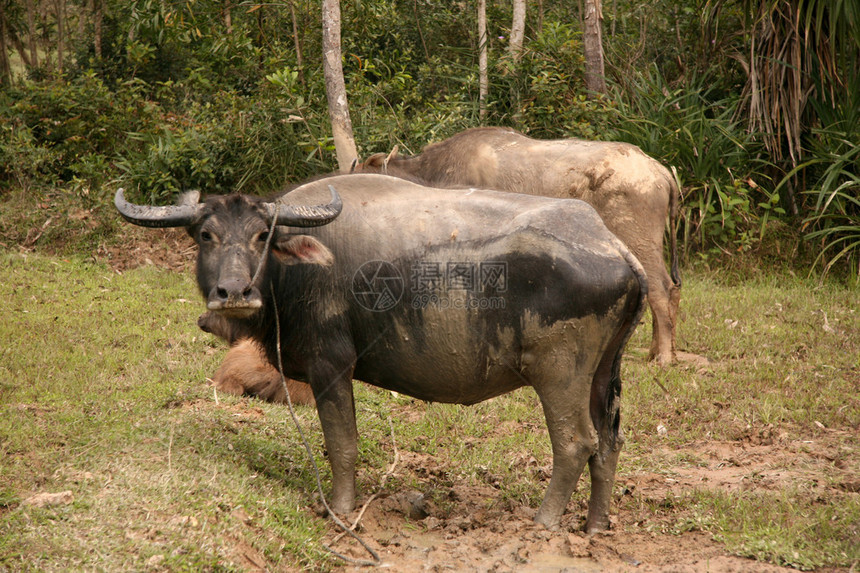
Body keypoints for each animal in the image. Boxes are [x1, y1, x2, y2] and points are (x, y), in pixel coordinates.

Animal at [117, 174, 648, 532]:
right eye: (206, 235)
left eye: (261, 236)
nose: (235, 293)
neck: (295, 275)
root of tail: (615, 248)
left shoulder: (331, 365)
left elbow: (342, 442)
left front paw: (340, 510)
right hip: (604, 374)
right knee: (608, 443)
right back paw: (594, 526)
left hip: (558, 372)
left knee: (575, 443)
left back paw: (543, 523)